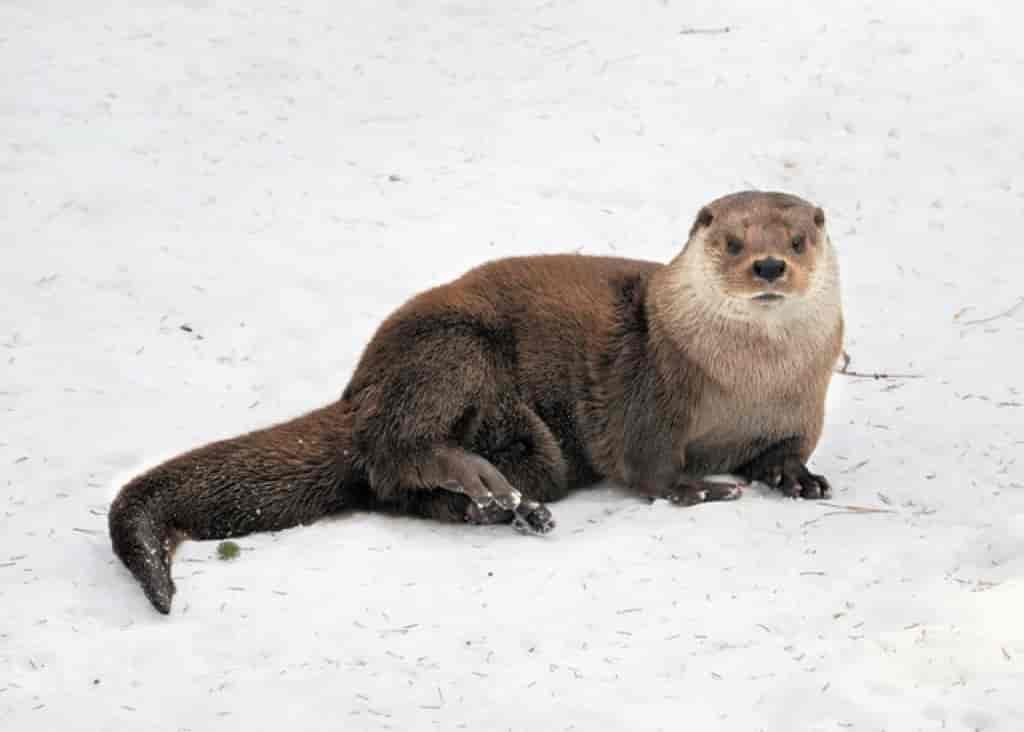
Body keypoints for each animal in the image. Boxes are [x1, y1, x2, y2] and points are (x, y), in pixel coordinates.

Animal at [109, 190, 844, 614]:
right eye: (732, 242)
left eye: (798, 240)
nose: (769, 266)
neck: (747, 383)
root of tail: (358, 388)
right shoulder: (653, 389)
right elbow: (649, 467)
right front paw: (702, 488)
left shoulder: (803, 407)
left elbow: (786, 451)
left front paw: (798, 478)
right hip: (451, 348)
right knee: (395, 446)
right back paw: (482, 484)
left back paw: (508, 509)